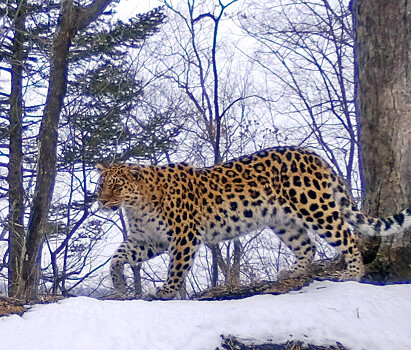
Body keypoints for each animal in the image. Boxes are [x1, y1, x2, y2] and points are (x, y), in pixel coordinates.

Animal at [96, 146, 411, 300]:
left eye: (116, 186)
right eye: (101, 185)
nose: (100, 201)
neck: (136, 206)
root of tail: (314, 155)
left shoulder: (183, 235)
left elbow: (177, 267)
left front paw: (166, 292)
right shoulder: (148, 239)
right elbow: (117, 256)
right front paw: (119, 284)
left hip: (314, 207)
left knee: (347, 237)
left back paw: (352, 274)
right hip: (283, 220)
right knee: (307, 246)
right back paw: (292, 272)